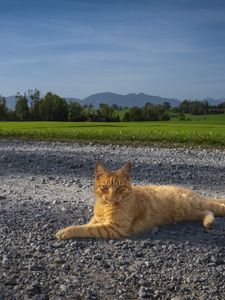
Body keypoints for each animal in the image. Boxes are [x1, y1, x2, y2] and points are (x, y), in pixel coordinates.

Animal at [55, 161, 225, 240]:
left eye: (119, 188)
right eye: (105, 187)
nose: (112, 196)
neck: (104, 206)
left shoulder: (114, 227)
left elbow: (85, 229)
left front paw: (65, 231)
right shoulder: (97, 220)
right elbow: (88, 224)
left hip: (193, 205)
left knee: (216, 206)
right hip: (190, 212)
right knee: (208, 211)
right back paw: (209, 222)